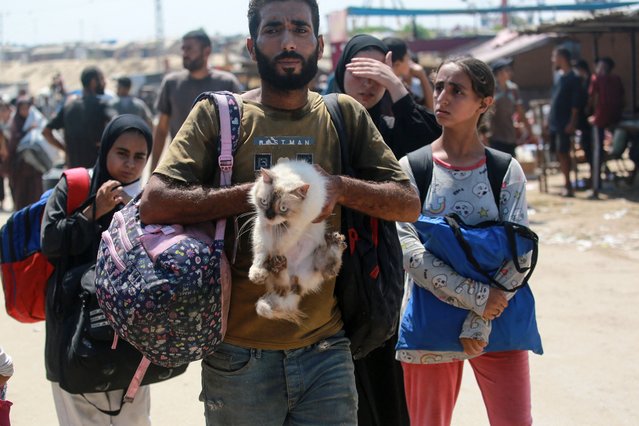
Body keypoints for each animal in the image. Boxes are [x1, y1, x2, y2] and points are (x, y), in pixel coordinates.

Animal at [249, 159, 348, 322]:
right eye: (264, 202)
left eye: (283, 208)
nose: (269, 216)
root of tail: (297, 283)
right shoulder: (262, 226)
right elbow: (262, 251)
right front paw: (257, 274)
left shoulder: (296, 227)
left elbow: (278, 246)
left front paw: (274, 255)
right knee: (282, 285)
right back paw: (278, 266)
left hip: (315, 265)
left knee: (329, 270)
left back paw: (335, 242)